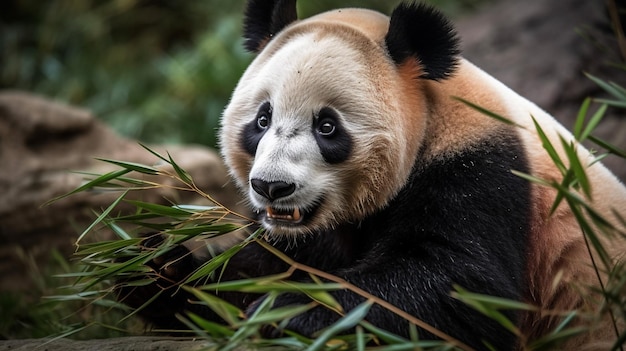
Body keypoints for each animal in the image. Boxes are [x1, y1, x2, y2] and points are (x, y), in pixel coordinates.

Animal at [120, 1, 624, 350]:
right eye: (262, 119)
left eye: (327, 127)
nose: (272, 188)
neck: (432, 109)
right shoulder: (304, 232)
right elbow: (259, 265)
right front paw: (158, 269)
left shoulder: (483, 171)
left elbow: (462, 289)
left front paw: (291, 310)